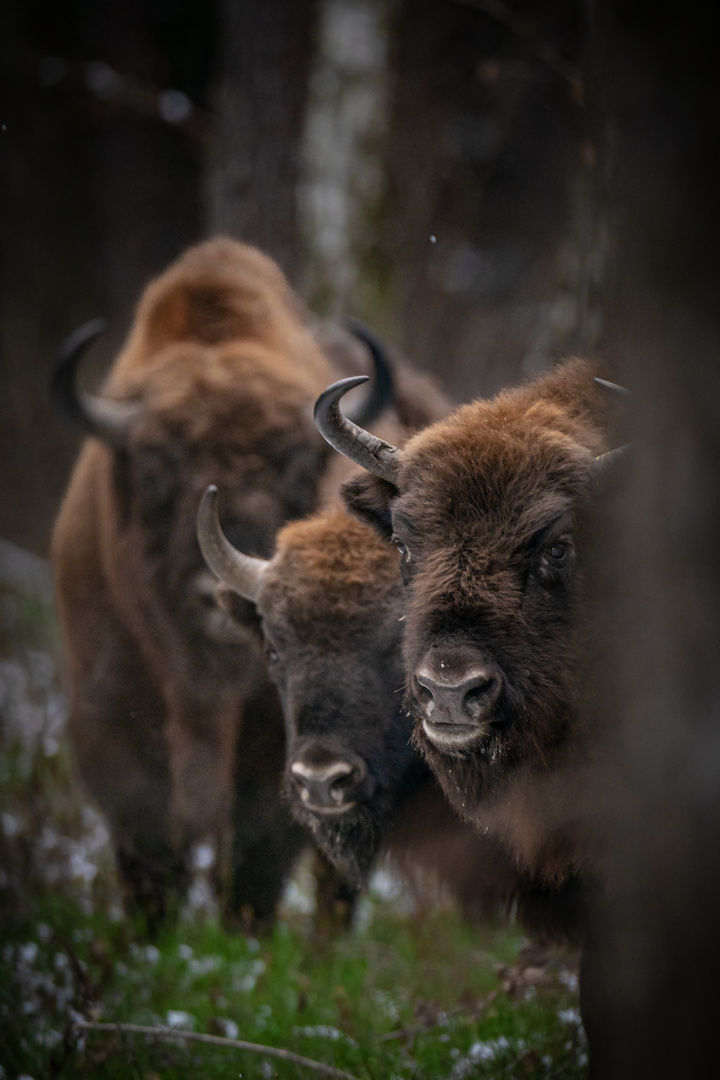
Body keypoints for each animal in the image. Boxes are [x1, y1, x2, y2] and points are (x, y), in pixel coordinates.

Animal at [50, 234, 403, 928]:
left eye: (299, 465)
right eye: (154, 465)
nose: (222, 590)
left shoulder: (280, 742)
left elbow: (256, 855)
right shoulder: (110, 718)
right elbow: (152, 847)